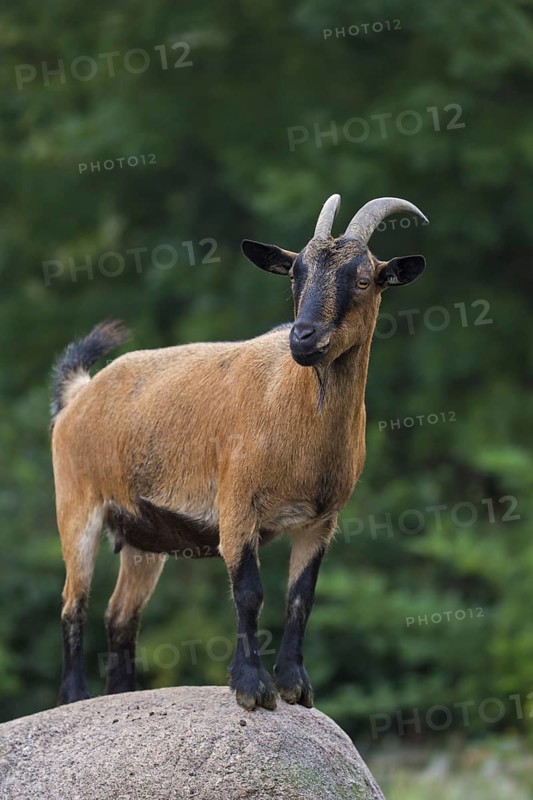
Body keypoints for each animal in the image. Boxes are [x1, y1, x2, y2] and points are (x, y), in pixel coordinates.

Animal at [51, 194, 428, 710]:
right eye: (295, 274)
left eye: (364, 279)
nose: (303, 337)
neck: (292, 406)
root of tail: (79, 393)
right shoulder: (236, 506)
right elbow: (249, 592)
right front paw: (251, 687)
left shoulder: (320, 521)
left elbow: (301, 597)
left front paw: (295, 686)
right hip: (78, 506)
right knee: (74, 601)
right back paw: (75, 696)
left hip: (143, 538)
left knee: (120, 615)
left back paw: (122, 693)